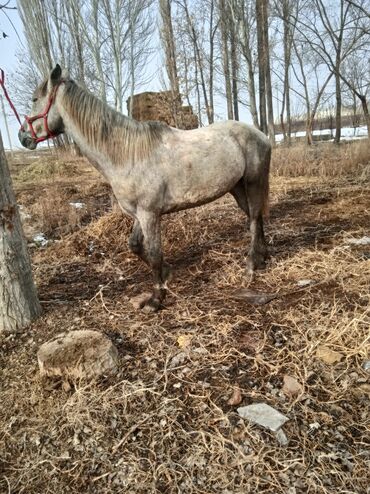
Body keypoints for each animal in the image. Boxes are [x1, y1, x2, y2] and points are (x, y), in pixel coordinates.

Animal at [18, 64, 270, 312]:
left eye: (34, 99)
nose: (22, 137)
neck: (127, 153)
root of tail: (262, 135)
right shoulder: (138, 214)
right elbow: (136, 246)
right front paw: (167, 273)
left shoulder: (150, 214)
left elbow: (155, 253)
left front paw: (156, 299)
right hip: (236, 187)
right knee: (255, 216)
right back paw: (262, 257)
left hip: (253, 182)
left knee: (254, 218)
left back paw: (251, 264)